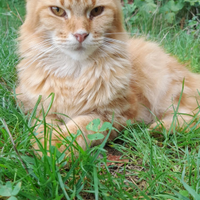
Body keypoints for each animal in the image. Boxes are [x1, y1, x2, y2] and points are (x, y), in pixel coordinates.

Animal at [16, 0, 200, 154]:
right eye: (58, 11)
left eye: (96, 11)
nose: (81, 35)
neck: (75, 73)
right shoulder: (39, 108)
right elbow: (42, 126)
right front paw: (46, 146)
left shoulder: (117, 115)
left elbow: (81, 126)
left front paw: (59, 146)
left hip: (165, 89)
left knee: (192, 116)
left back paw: (159, 129)